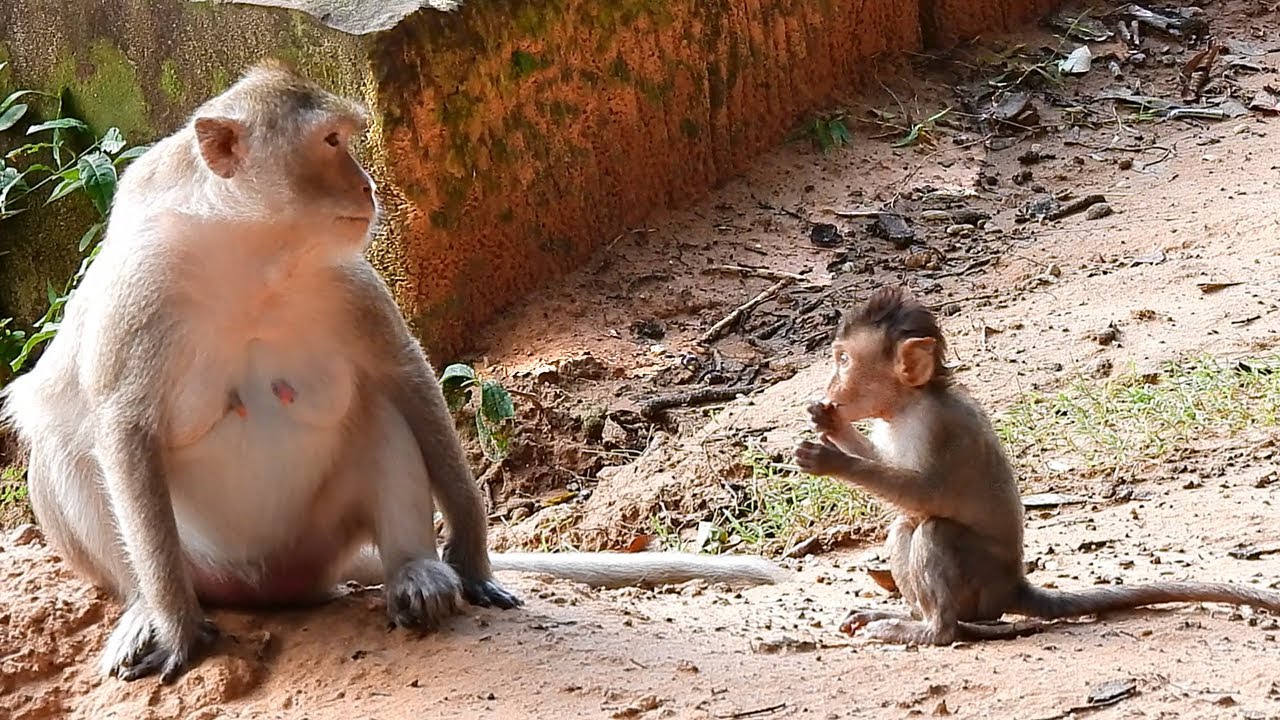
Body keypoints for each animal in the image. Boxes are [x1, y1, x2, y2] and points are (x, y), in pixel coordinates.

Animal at [0, 60, 783, 684]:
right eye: (330, 143)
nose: (369, 185)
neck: (255, 257)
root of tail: (274, 587)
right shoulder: (144, 290)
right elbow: (123, 428)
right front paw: (171, 622)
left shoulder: (348, 282)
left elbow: (406, 379)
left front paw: (471, 551)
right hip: (207, 564)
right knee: (65, 446)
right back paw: (142, 606)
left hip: (322, 539)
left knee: (379, 412)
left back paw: (418, 573)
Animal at [793, 285, 1280, 646]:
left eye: (843, 360)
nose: (831, 386)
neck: (910, 402)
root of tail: (1014, 585)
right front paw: (833, 425)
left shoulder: (936, 426)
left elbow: (925, 493)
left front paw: (830, 459)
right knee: (905, 526)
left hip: (983, 585)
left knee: (932, 529)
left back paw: (933, 629)